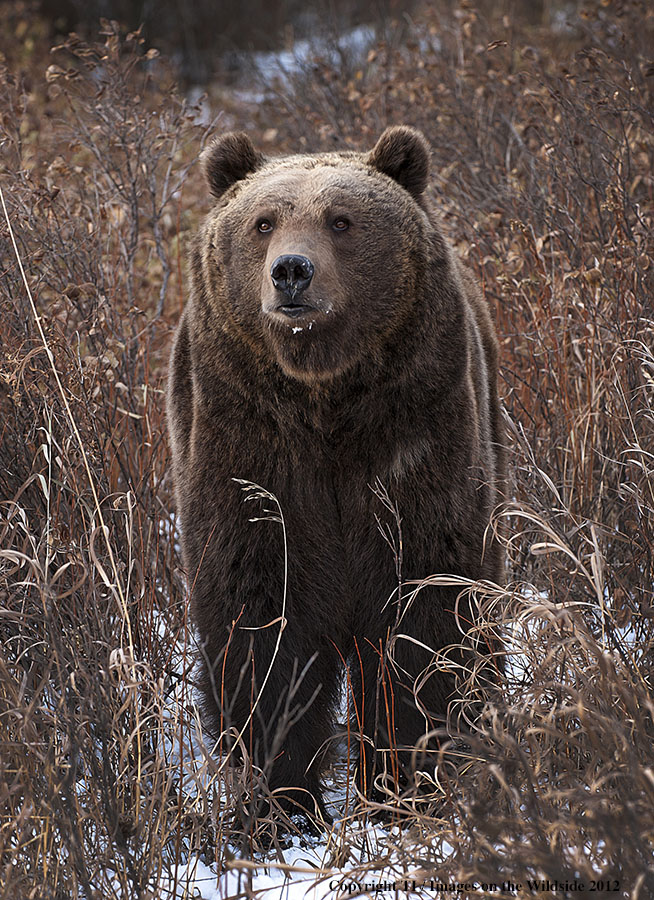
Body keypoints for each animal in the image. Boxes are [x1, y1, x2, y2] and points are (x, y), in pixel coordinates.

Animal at [168, 126, 508, 824]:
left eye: (342, 220)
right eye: (264, 222)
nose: (291, 271)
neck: (324, 398)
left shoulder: (413, 436)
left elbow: (425, 608)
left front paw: (408, 780)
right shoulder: (249, 448)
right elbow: (261, 619)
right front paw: (280, 800)